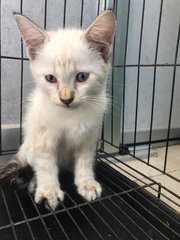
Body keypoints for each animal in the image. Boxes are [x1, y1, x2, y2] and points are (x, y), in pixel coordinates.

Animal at [0, 10, 116, 209]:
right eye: (50, 78)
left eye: (82, 76)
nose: (66, 99)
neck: (71, 116)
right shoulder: (42, 138)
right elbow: (45, 166)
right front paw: (49, 191)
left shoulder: (88, 137)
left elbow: (84, 161)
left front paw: (86, 183)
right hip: (30, 147)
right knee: (32, 166)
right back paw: (33, 183)